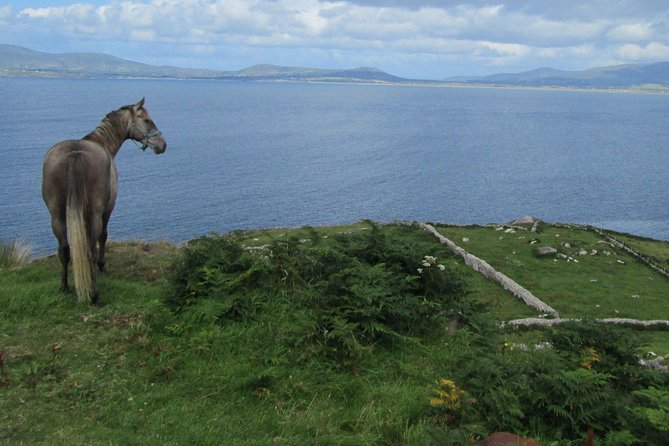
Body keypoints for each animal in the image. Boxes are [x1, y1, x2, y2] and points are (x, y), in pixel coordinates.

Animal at [41, 98, 167, 304]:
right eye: (147, 120)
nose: (163, 144)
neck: (102, 143)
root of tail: (75, 154)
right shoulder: (108, 209)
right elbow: (104, 236)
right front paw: (101, 265)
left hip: (57, 214)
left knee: (65, 249)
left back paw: (65, 286)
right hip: (95, 213)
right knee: (90, 249)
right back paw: (93, 293)